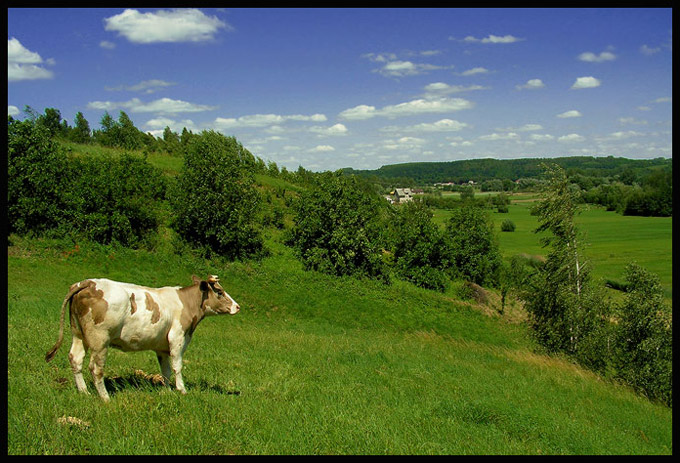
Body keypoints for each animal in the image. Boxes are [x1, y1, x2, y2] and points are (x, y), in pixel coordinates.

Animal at [43, 276, 240, 402]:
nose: (237, 306)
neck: (187, 303)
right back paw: (105, 397)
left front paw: (167, 391)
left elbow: (165, 370)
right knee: (96, 368)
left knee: (75, 359)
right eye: (220, 292)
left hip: (78, 334)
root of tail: (88, 282)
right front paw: (182, 390)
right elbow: (177, 366)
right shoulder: (177, 338)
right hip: (100, 340)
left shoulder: (162, 347)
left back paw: (84, 392)